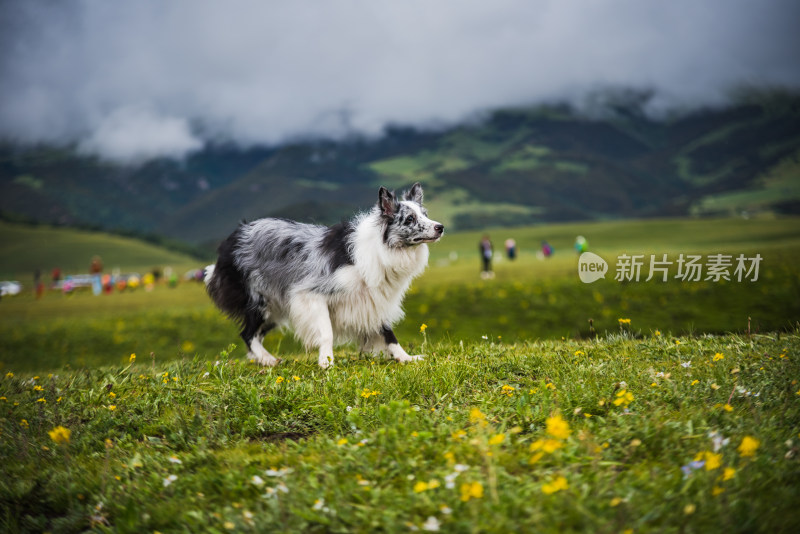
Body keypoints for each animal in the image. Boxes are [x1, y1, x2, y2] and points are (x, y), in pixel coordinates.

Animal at [205, 183, 444, 368]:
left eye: (425, 215)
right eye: (410, 219)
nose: (440, 227)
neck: (382, 246)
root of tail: (231, 239)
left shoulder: (374, 300)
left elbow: (388, 334)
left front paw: (406, 358)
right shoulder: (311, 295)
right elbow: (326, 332)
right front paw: (326, 362)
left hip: (276, 308)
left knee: (254, 334)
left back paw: (263, 359)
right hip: (260, 302)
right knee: (247, 334)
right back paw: (268, 360)